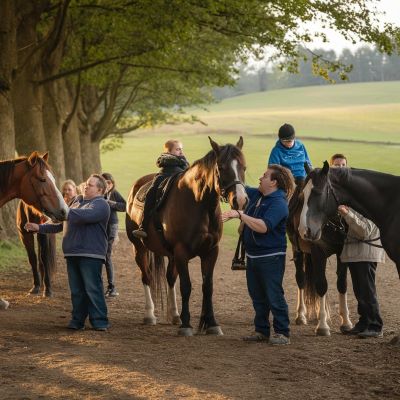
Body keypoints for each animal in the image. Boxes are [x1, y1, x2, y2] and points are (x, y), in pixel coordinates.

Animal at [126, 137, 248, 334]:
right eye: (221, 167)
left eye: (244, 167)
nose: (241, 200)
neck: (198, 203)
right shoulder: (182, 252)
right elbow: (186, 286)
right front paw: (186, 324)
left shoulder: (211, 252)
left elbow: (208, 287)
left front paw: (211, 323)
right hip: (139, 249)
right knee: (147, 277)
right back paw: (150, 315)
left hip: (171, 255)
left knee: (169, 278)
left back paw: (174, 314)